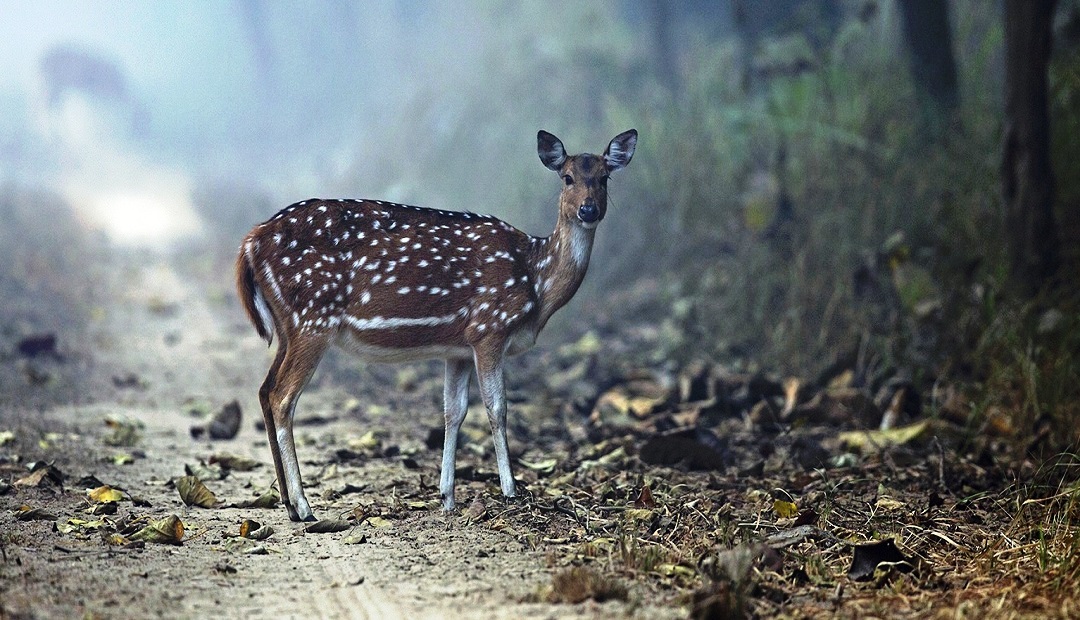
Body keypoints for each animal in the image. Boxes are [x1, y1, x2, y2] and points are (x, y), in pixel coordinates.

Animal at [236, 128, 635, 522]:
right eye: (566, 177)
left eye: (605, 177)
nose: (588, 209)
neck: (535, 281)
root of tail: (250, 242)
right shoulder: (490, 327)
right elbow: (497, 408)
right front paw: (510, 491)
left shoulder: (457, 348)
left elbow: (453, 412)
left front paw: (447, 497)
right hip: (312, 317)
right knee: (282, 396)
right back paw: (304, 505)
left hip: (288, 327)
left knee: (264, 390)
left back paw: (287, 502)